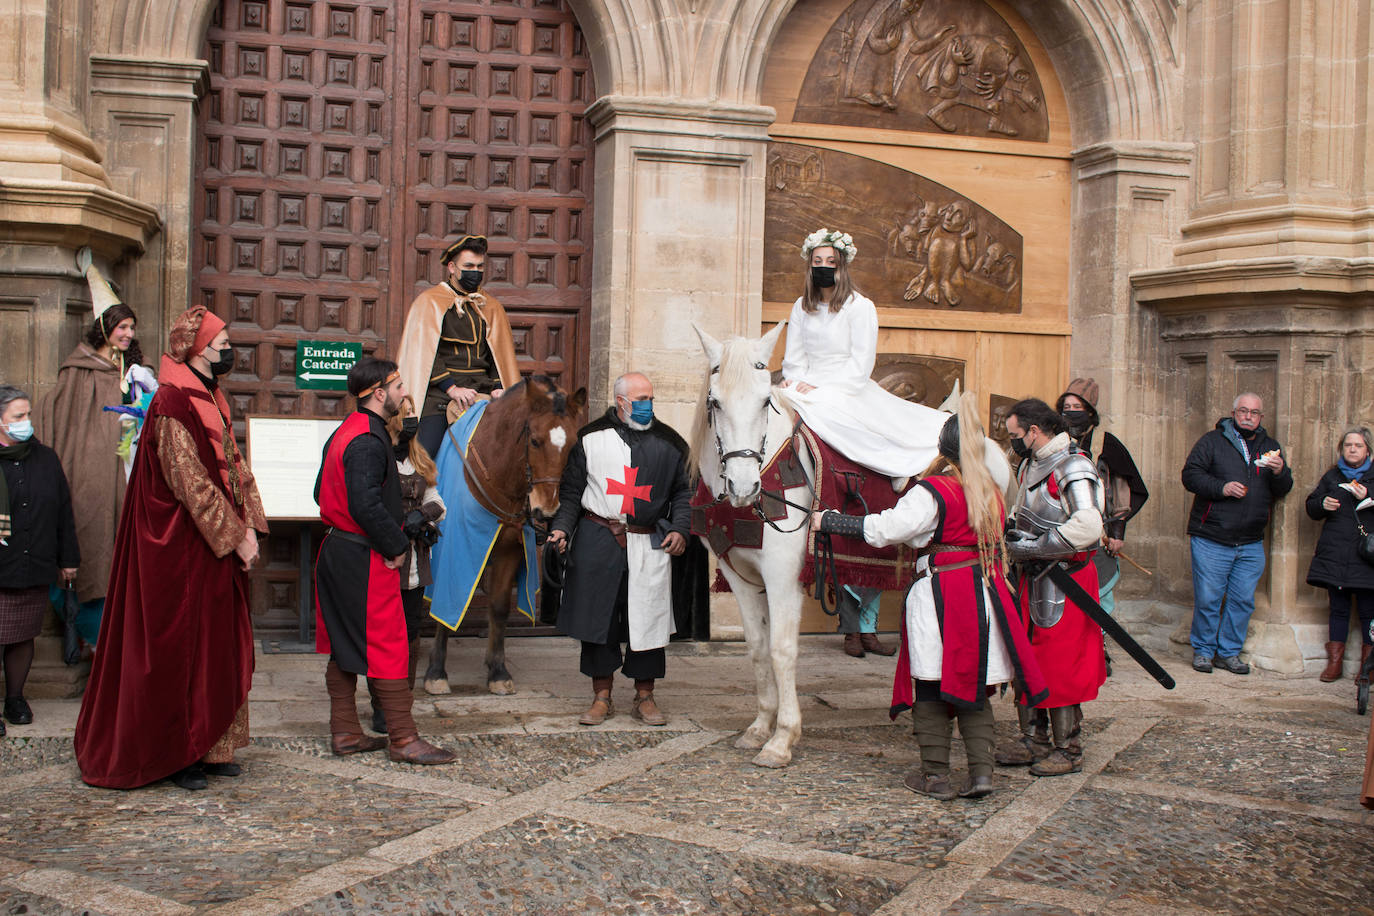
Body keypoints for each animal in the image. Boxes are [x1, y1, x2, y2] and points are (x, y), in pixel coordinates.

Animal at [423, 373, 585, 694]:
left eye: (573, 445)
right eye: (535, 440)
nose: (548, 510)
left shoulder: (509, 551)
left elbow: (498, 608)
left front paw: (498, 671)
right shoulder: (452, 551)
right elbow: (446, 603)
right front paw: (436, 672)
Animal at [697, 322, 1011, 769]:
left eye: (764, 403)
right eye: (715, 402)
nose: (743, 486)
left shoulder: (782, 577)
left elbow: (781, 650)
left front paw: (782, 738)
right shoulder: (740, 577)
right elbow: (757, 649)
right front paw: (759, 727)